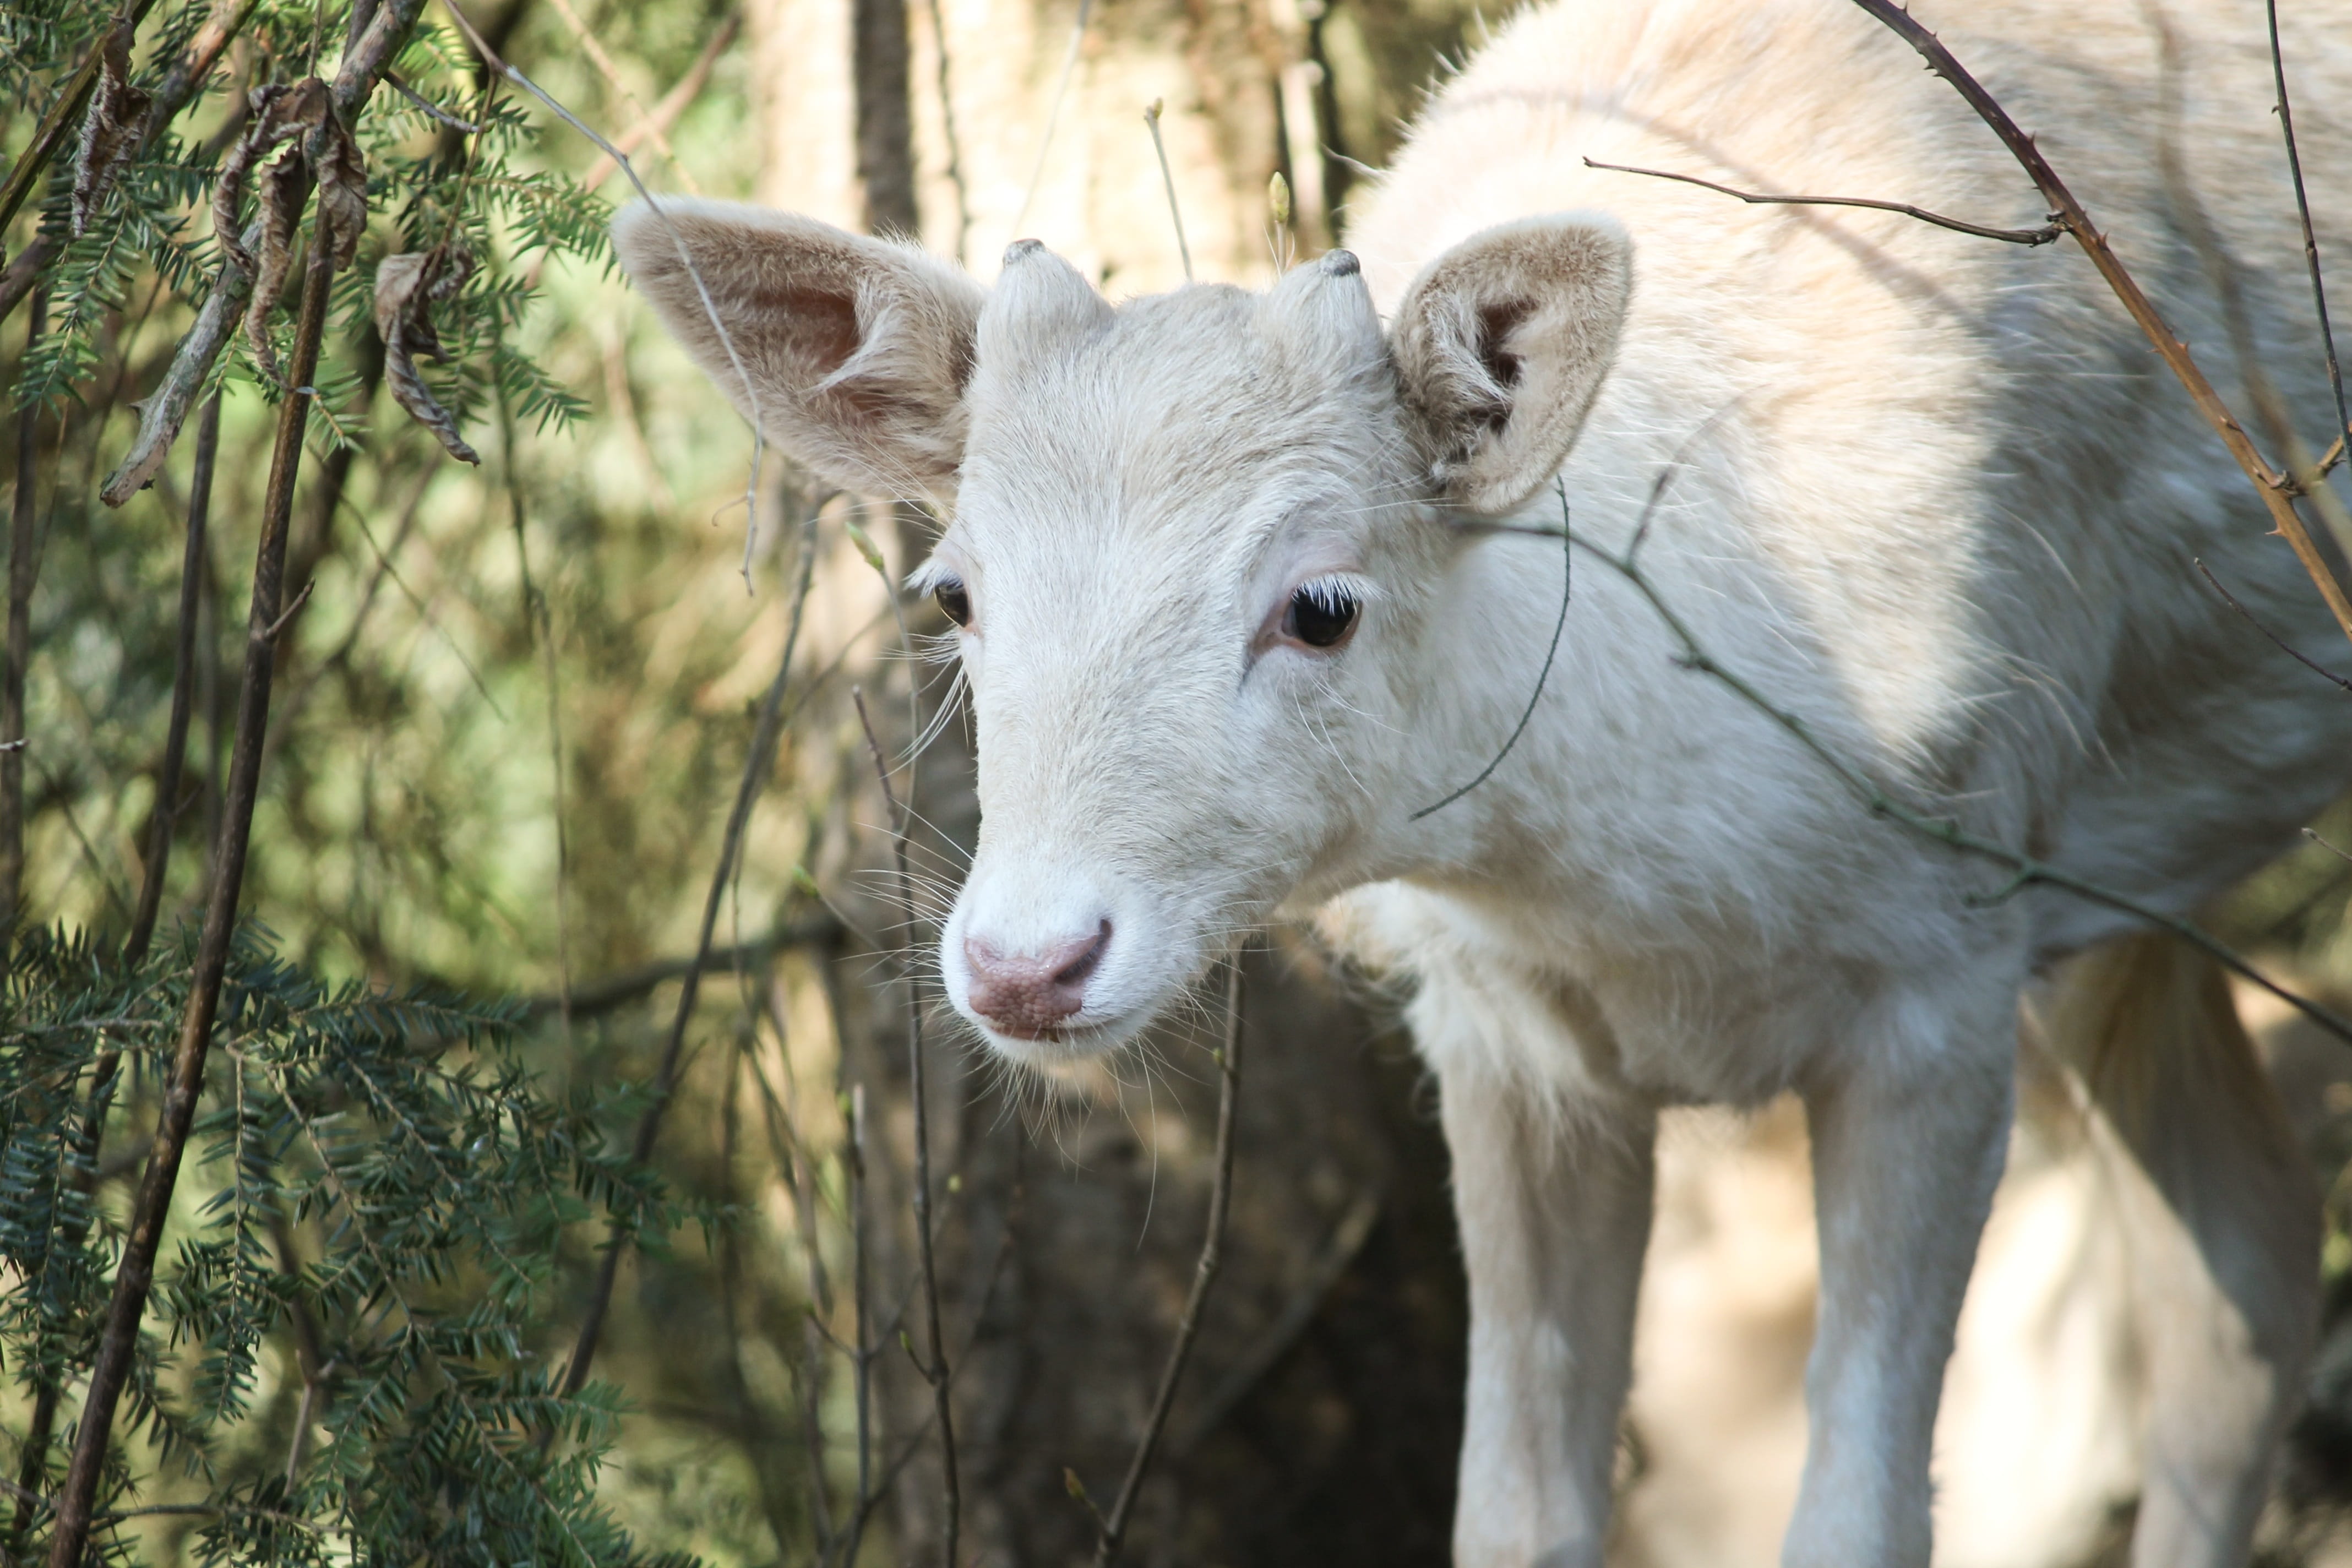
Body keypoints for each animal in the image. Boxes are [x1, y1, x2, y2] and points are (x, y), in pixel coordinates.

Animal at [614, 0, 2352, 1560]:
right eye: (954, 593)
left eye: (1322, 600)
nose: (1025, 964)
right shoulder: (1507, 1032)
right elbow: (1516, 1513)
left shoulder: (1945, 965)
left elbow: (1861, 1515)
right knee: (2251, 1256)